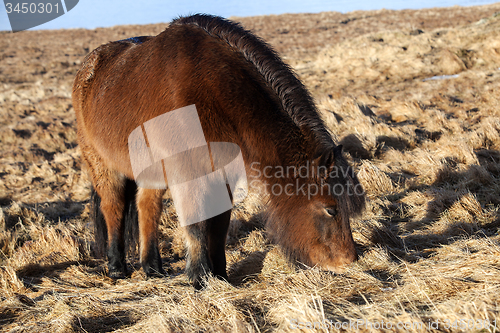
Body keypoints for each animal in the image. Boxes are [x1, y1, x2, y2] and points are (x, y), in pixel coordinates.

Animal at [72, 13, 366, 288]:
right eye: (330, 209)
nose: (349, 260)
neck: (213, 91)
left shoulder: (224, 174)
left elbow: (220, 224)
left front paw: (219, 275)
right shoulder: (187, 174)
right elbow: (196, 224)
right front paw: (199, 277)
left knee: (147, 206)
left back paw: (152, 267)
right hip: (101, 165)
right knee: (114, 207)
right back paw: (117, 267)